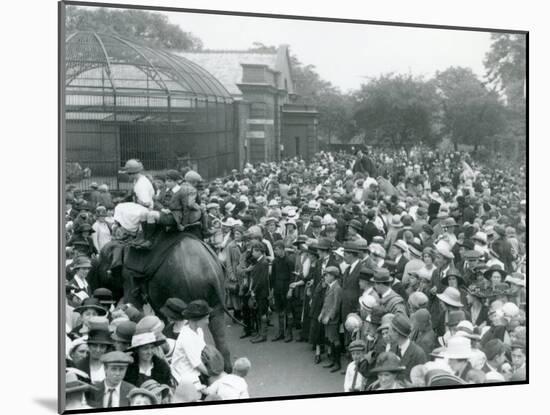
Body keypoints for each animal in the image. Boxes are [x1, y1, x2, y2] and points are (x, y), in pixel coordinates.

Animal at [87, 234, 234, 374]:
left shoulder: (129, 275)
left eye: (101, 260)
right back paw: (225, 368)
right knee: (217, 324)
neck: (123, 244)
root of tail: (212, 273)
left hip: (184, 288)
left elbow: (134, 303)